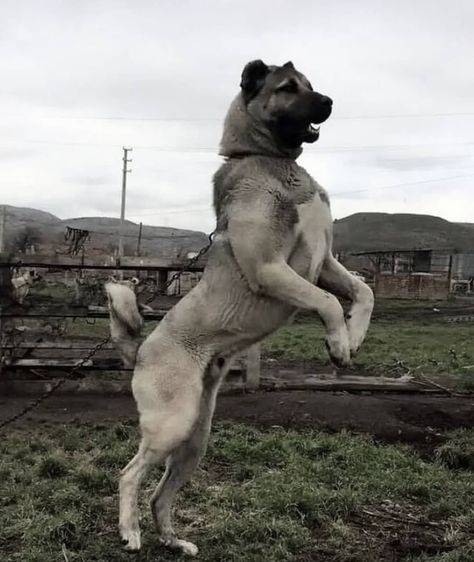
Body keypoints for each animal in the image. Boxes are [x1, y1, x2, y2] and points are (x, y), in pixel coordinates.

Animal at [106, 59, 374, 552]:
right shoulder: (270, 268)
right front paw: (337, 343)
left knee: (160, 494)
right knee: (130, 475)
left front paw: (354, 337)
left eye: (311, 85)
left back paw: (173, 541)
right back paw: (130, 533)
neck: (272, 162)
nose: (329, 102)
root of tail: (142, 349)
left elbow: (363, 291)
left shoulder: (326, 262)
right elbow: (328, 301)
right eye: (288, 88)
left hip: (196, 439)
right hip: (171, 425)